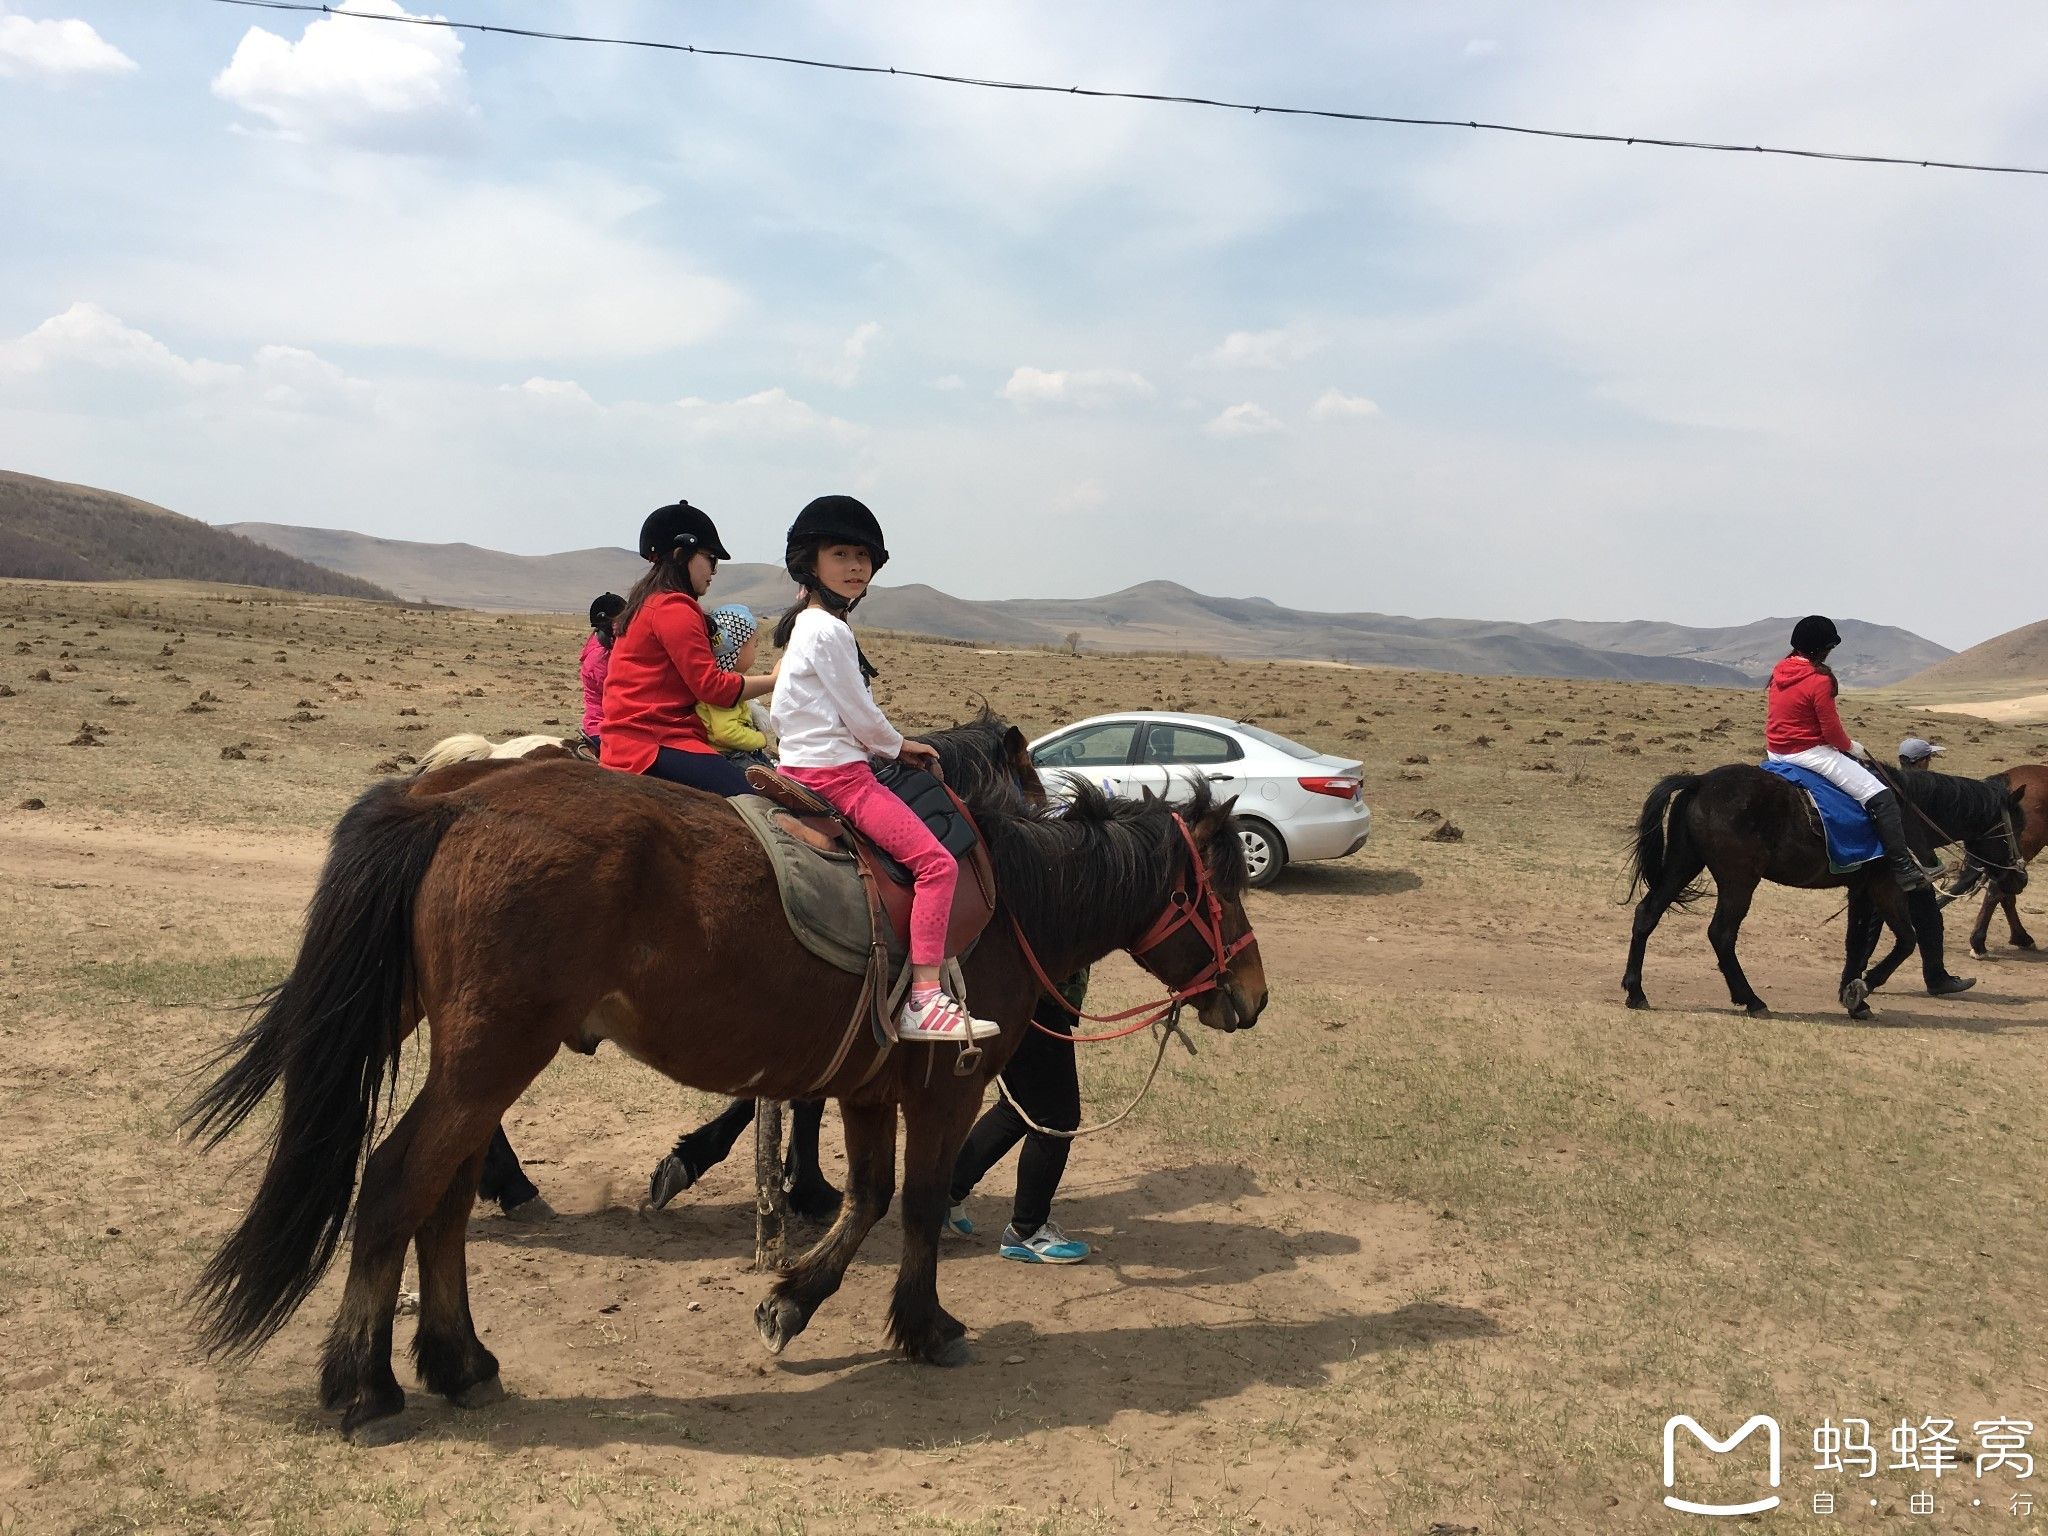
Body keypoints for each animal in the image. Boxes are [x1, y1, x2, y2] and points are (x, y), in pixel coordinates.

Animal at [184, 733, 1261, 1441]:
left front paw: (790, 1301)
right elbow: (914, 1204)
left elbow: (866, 1198)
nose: (1250, 996)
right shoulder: (942, 1090)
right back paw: (365, 1387)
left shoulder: (865, 1085)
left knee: (441, 1197)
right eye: (1223, 890)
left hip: (476, 1053)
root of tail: (454, 799)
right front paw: (924, 1327)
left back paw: (461, 1363)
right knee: (396, 1184)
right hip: (492, 1051)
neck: (1009, 901)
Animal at [1622, 761, 2023, 1024]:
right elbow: (1906, 941)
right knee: (1721, 933)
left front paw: (1854, 995)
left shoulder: (1861, 890)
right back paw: (1751, 999)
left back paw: (1636, 991)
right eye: (2014, 828)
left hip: (1683, 866)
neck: (1907, 811)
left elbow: (1858, 941)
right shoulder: (1888, 886)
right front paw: (1862, 988)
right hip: (1739, 880)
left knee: (1647, 914)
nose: (2018, 879)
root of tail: (1701, 782)